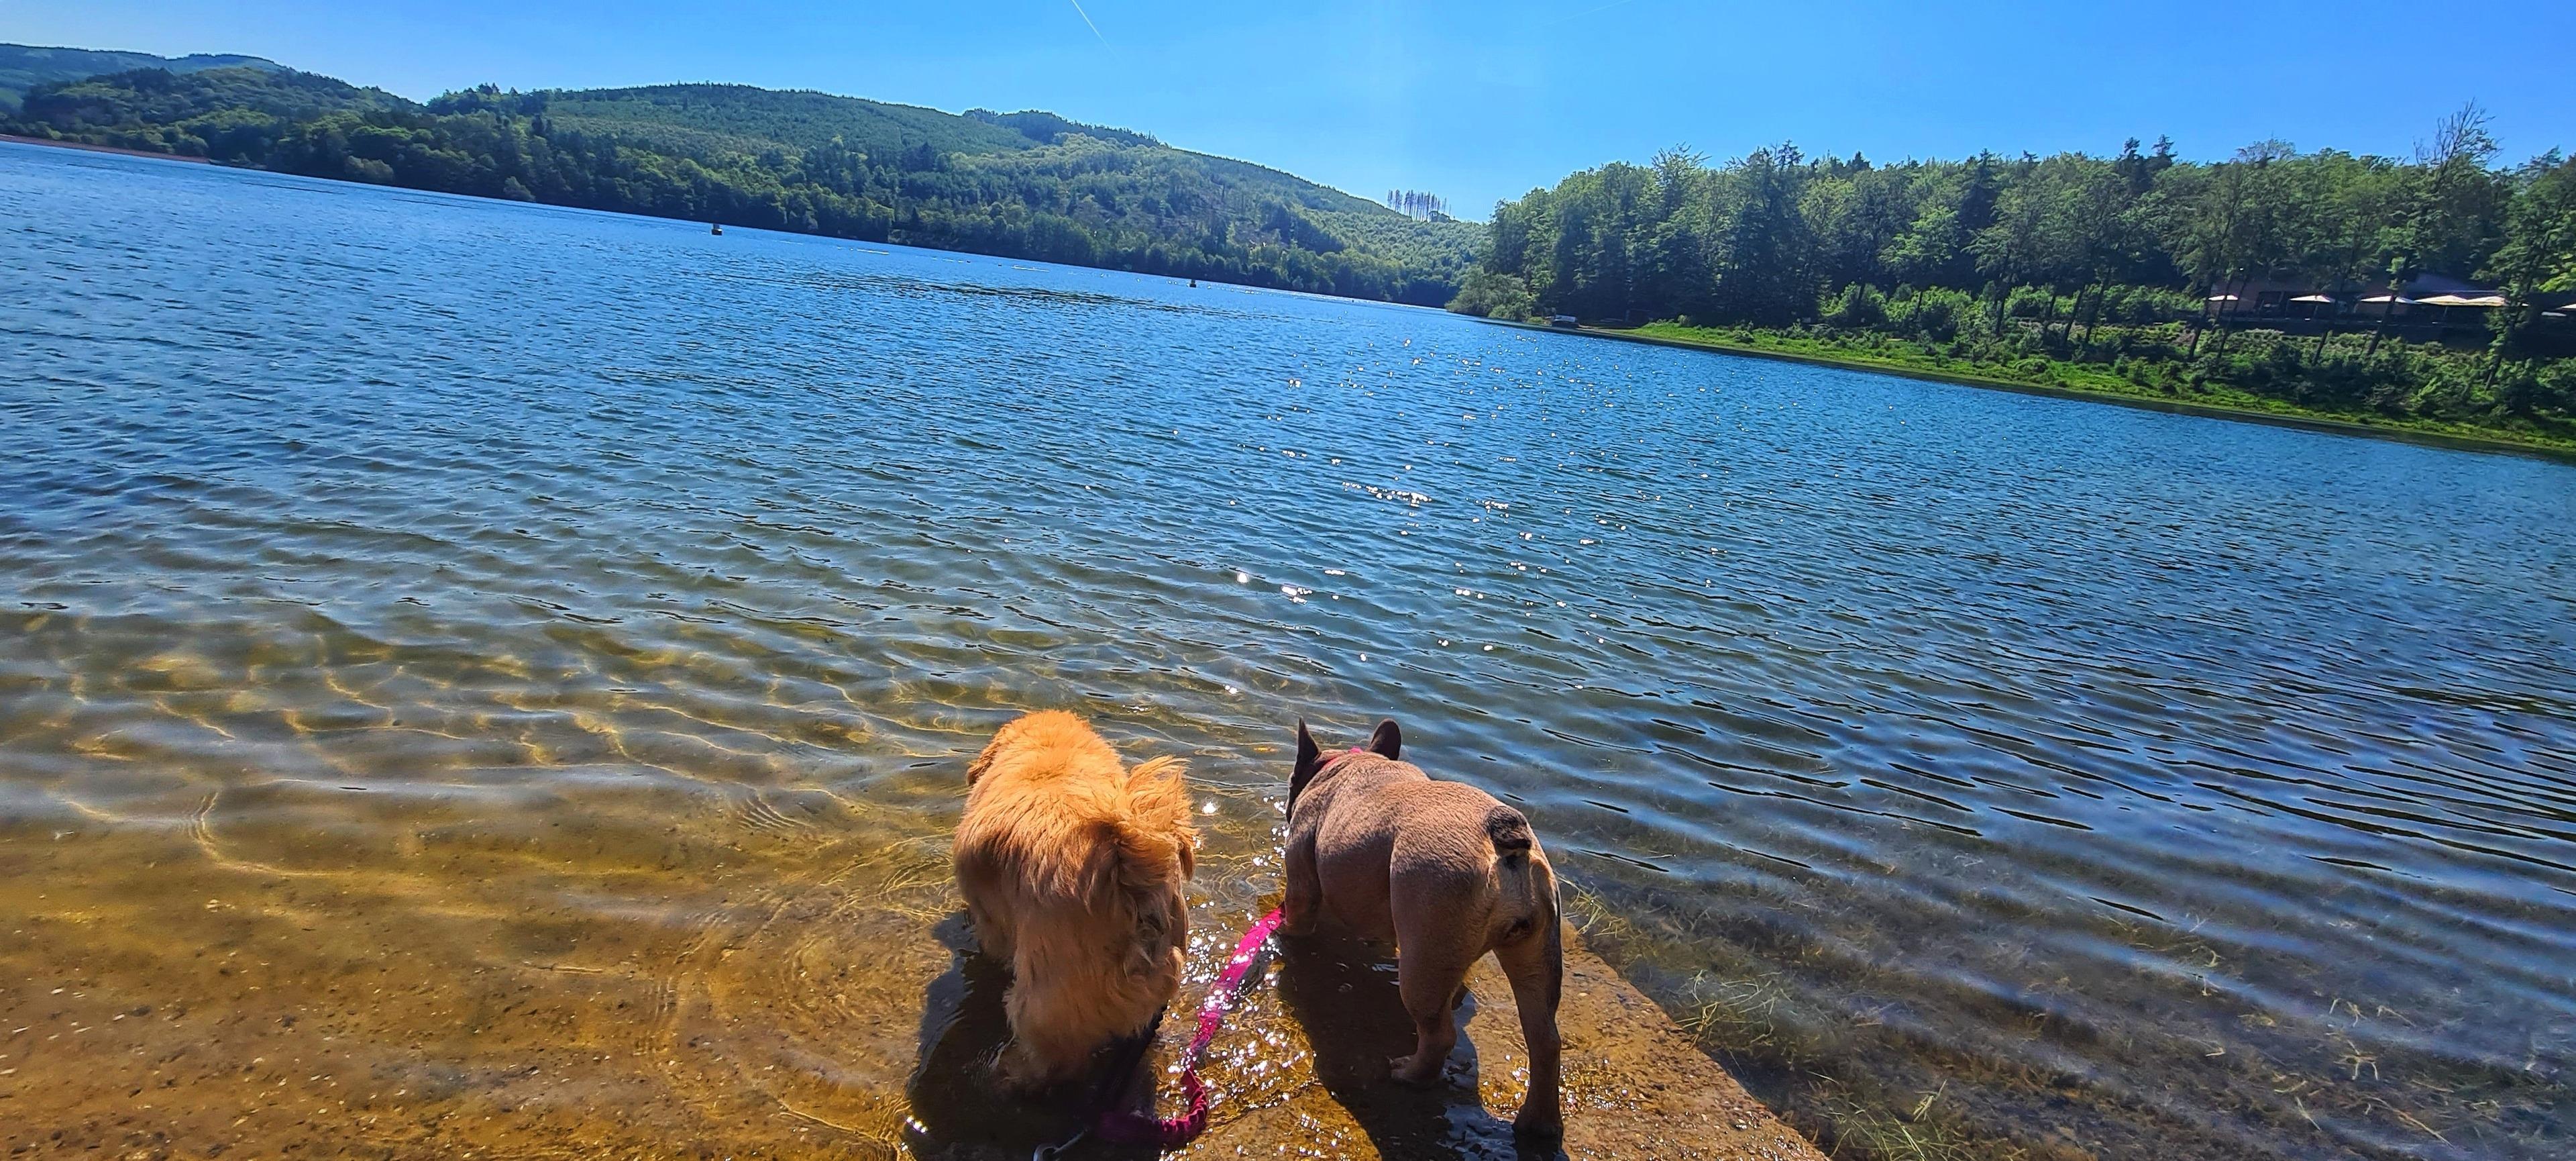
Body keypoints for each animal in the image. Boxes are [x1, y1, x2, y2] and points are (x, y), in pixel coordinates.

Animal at [1284, 718, 1564, 1139]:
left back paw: (1411, 1075)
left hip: (1425, 950)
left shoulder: (1302, 882)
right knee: (1544, 1041)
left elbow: (1298, 915)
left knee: (1439, 1034)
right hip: (1535, 956)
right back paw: (1539, 1125)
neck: (1348, 764)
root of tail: (1502, 838)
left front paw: (1281, 934)